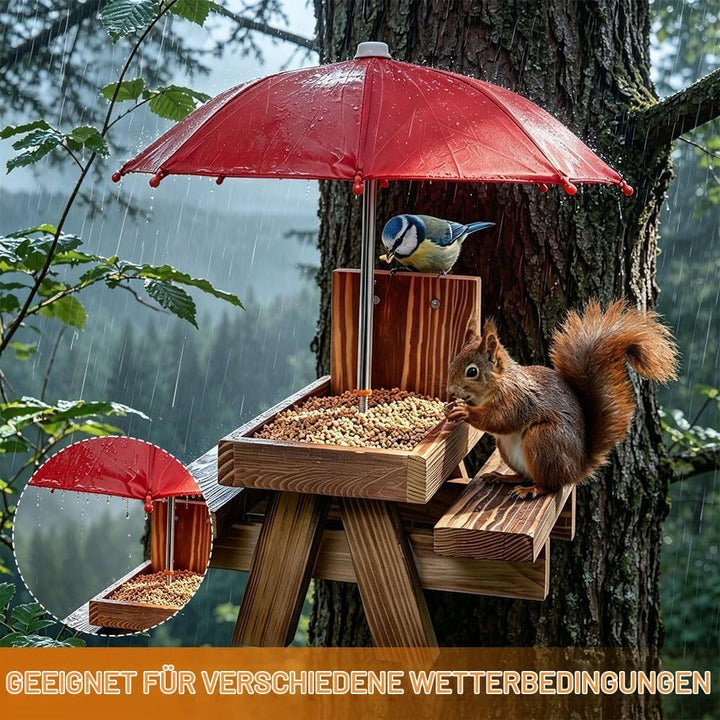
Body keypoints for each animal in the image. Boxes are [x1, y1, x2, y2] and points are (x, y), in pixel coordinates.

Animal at [444, 300, 678, 499]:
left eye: (472, 371)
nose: (450, 390)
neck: (500, 383)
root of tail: (576, 469)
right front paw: (450, 408)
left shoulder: (518, 400)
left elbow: (501, 420)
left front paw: (465, 411)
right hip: (507, 448)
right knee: (524, 476)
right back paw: (502, 477)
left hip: (543, 438)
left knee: (550, 485)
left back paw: (532, 489)